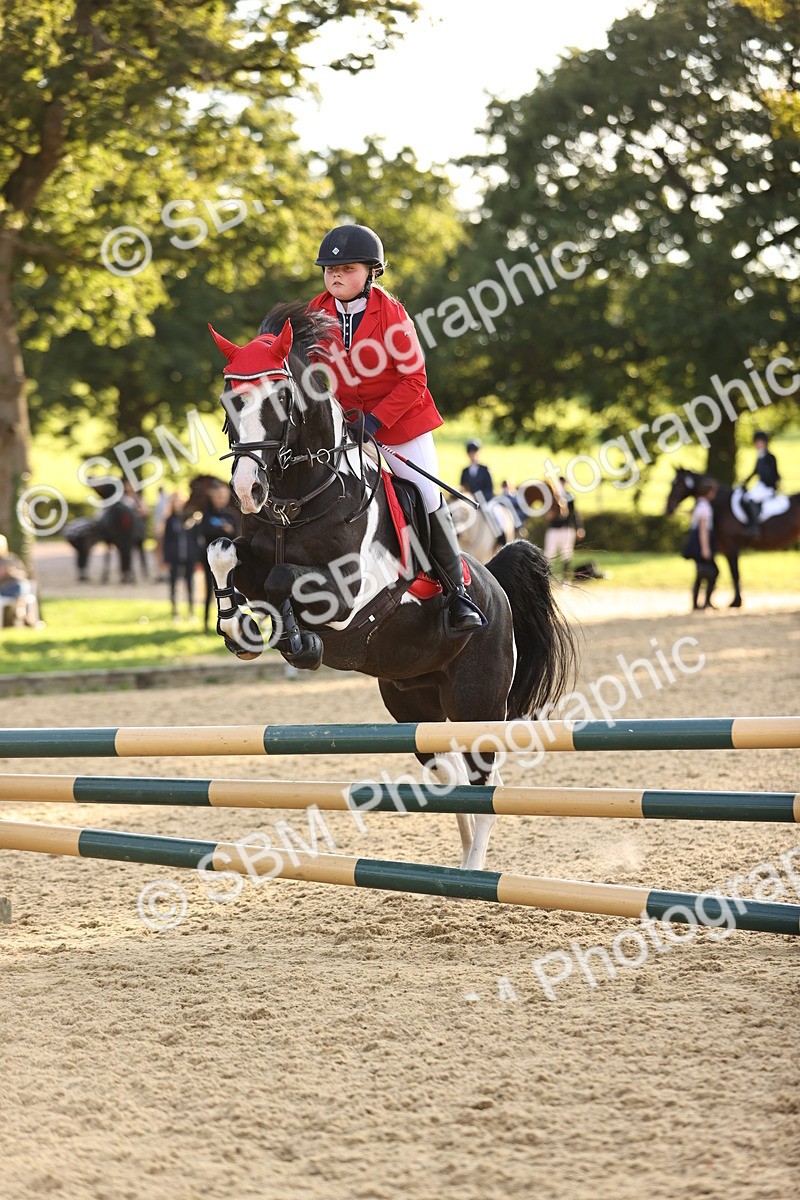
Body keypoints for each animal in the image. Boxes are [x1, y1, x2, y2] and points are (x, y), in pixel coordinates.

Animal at [204, 301, 577, 870]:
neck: (303, 499)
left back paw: (473, 873)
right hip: (412, 703)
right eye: (230, 399)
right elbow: (223, 552)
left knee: (484, 781)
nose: (248, 489)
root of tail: (495, 586)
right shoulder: (250, 550)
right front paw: (237, 626)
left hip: (477, 703)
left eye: (283, 397)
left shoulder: (349, 594)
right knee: (447, 772)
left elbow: (285, 579)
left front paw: (298, 642)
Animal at [666, 467, 800, 607]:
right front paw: (735, 600)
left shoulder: (731, 547)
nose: (668, 508)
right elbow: (730, 573)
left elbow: (735, 573)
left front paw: (736, 602)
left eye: (677, 484)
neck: (722, 506)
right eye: (672, 483)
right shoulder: (725, 549)